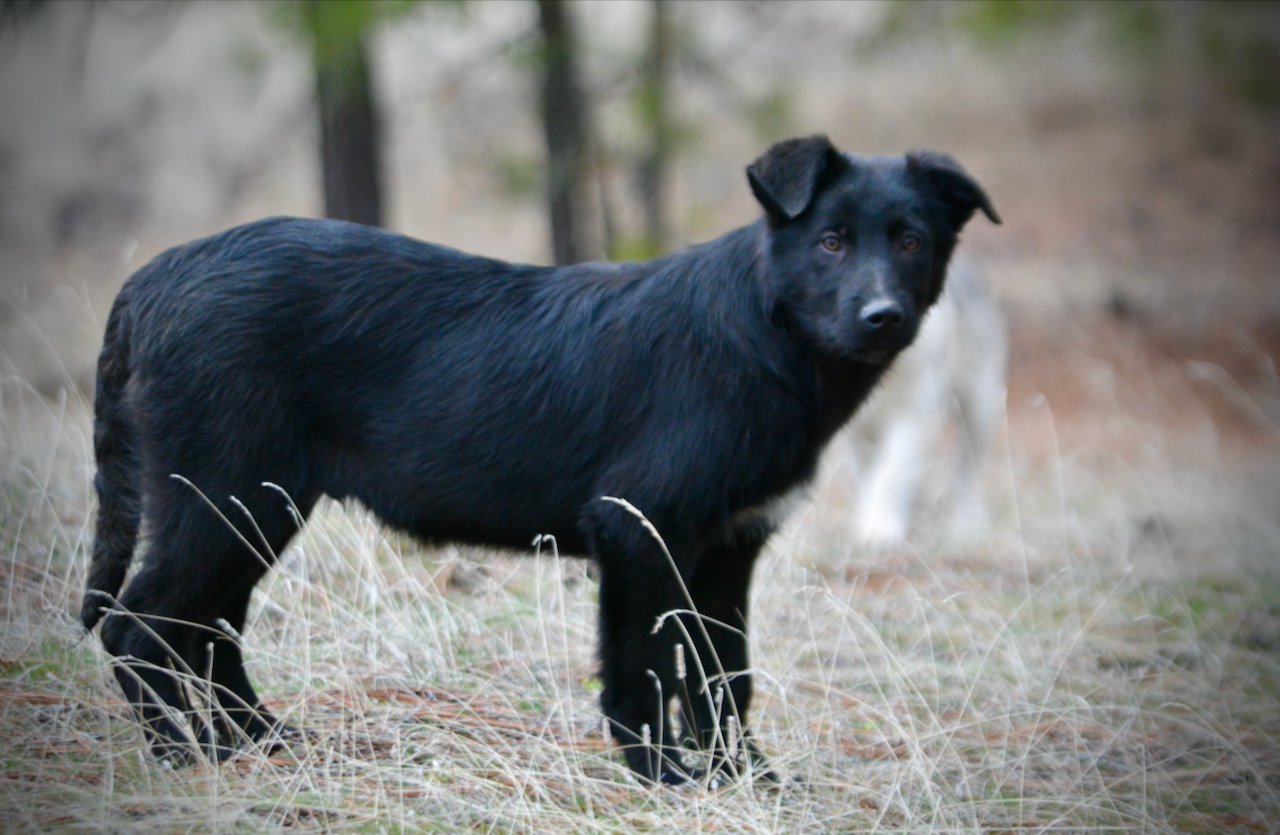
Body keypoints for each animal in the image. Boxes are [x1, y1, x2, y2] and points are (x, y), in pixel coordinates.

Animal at [82, 137, 998, 783]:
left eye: (911, 240)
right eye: (832, 242)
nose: (883, 317)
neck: (763, 332)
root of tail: (152, 280)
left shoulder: (728, 551)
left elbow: (723, 678)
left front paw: (749, 780)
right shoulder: (636, 529)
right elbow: (643, 673)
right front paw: (664, 777)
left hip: (252, 507)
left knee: (207, 632)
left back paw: (262, 742)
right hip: (223, 500)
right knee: (138, 627)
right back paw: (184, 756)